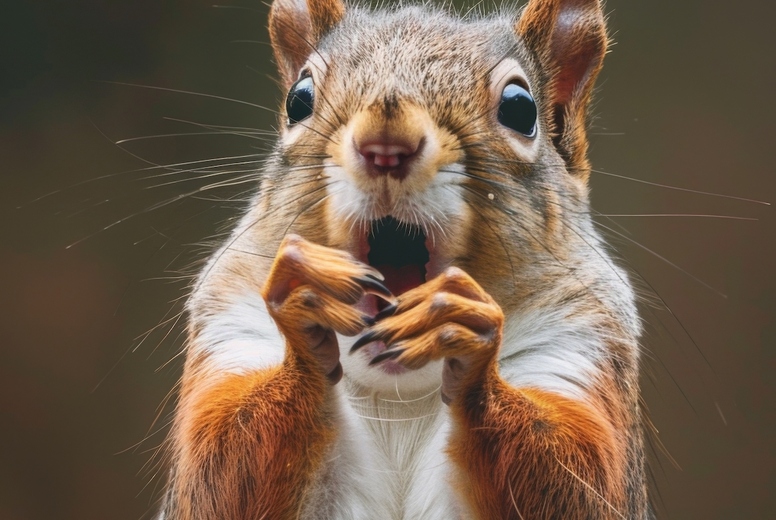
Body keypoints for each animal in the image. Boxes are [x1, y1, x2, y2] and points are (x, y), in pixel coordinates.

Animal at [157, 0, 651, 518]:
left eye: (520, 108)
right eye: (299, 99)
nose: (386, 143)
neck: (399, 391)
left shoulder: (583, 345)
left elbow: (578, 475)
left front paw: (464, 330)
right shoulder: (231, 330)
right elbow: (217, 470)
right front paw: (302, 305)